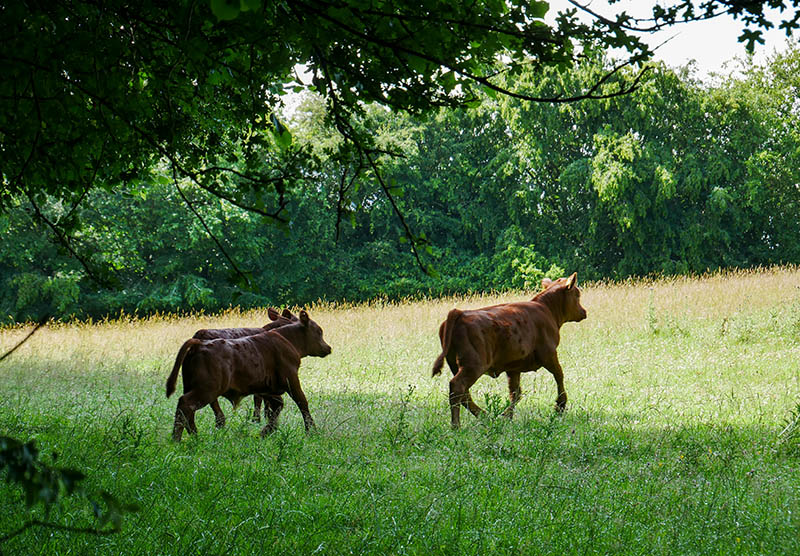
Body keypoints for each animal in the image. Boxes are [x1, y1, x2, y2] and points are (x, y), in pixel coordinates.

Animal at [166, 310, 332, 441]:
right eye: (319, 331)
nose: (328, 348)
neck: (287, 339)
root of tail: (198, 343)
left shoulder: (267, 388)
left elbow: (276, 405)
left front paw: (266, 431)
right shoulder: (291, 379)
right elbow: (302, 402)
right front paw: (311, 431)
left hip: (193, 387)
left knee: (188, 411)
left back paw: (194, 436)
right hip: (207, 389)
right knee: (186, 404)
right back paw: (178, 439)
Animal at [432, 272, 587, 429]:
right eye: (577, 295)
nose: (584, 312)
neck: (546, 309)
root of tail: (460, 313)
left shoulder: (513, 367)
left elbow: (516, 393)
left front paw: (507, 417)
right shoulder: (549, 355)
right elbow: (559, 376)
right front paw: (560, 406)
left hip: (455, 364)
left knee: (464, 394)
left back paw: (484, 416)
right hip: (473, 365)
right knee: (457, 387)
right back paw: (457, 425)